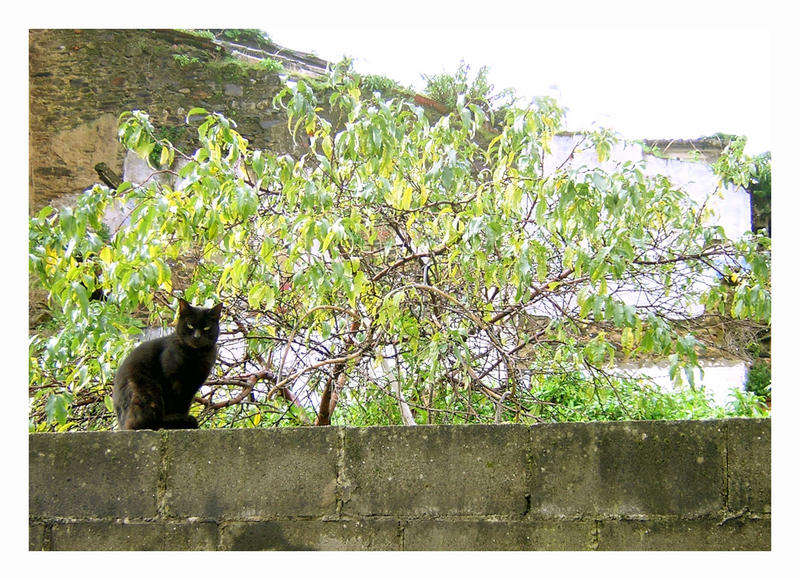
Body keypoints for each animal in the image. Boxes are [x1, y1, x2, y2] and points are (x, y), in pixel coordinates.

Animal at [112, 300, 222, 430]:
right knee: (143, 423)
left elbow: (184, 405)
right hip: (148, 391)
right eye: (190, 325)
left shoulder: (192, 385)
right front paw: (179, 418)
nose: (197, 336)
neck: (195, 356)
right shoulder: (172, 380)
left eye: (206, 327)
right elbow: (173, 402)